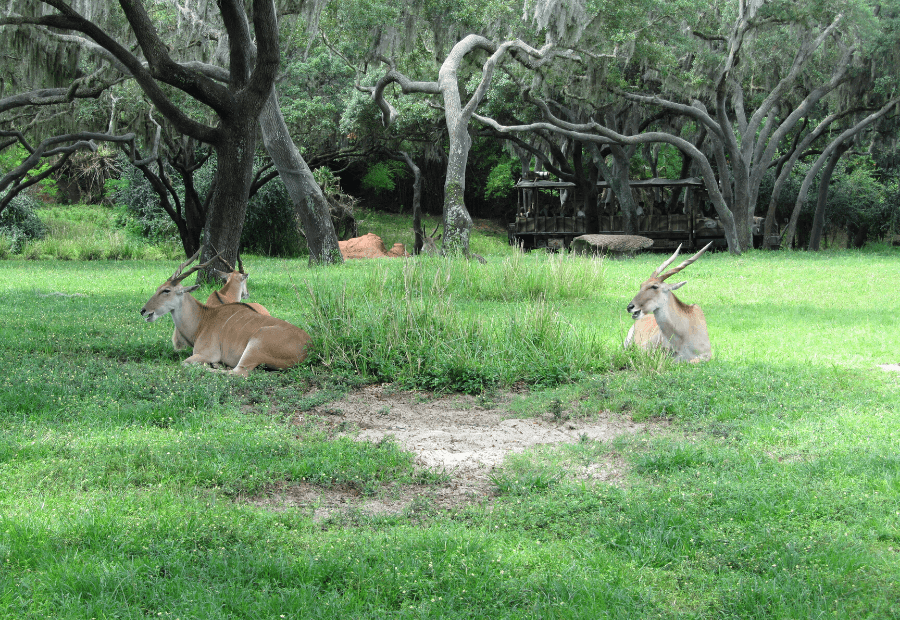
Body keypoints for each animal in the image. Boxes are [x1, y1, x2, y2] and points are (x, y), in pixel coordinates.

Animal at [140, 252, 310, 378]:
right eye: (159, 288)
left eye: (166, 290)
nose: (144, 310)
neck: (203, 319)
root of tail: (309, 346)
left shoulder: (206, 354)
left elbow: (185, 363)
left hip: (255, 345)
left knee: (239, 373)